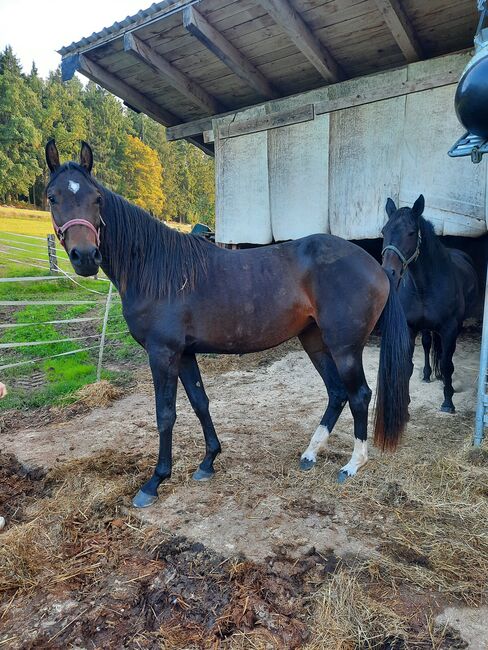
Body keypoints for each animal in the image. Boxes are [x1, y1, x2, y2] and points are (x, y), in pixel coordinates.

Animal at [45, 139, 411, 509]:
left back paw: (353, 465)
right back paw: (310, 454)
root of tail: (378, 267)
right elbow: (200, 403)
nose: (85, 256)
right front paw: (208, 461)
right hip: (315, 340)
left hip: (344, 347)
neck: (155, 269)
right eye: (52, 197)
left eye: (97, 198)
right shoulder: (184, 354)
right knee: (336, 393)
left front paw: (154, 482)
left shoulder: (162, 353)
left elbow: (165, 414)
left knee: (359, 395)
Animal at [381, 194, 479, 413]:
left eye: (411, 233)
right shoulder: (410, 328)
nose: (389, 272)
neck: (425, 285)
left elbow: (448, 365)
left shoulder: (450, 328)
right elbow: (408, 365)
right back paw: (427, 375)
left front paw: (448, 402)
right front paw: (406, 402)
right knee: (428, 344)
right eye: (384, 231)